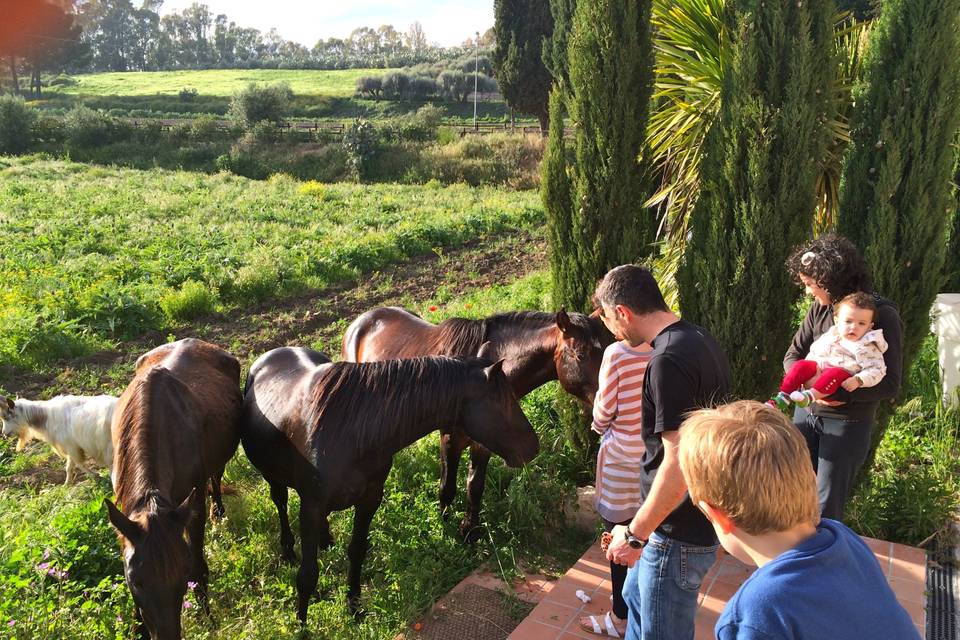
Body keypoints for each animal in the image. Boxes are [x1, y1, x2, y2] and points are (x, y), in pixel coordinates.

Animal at [102, 338, 240, 636]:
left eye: (182, 575)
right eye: (137, 581)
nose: (165, 635)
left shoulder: (192, 505)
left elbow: (199, 564)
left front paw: (208, 618)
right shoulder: (124, 511)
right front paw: (138, 628)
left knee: (216, 477)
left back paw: (219, 515)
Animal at [238, 348, 540, 624]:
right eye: (504, 402)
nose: (532, 447)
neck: (352, 432)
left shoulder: (369, 499)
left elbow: (357, 552)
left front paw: (354, 607)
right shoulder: (311, 506)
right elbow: (307, 574)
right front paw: (301, 622)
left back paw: (325, 539)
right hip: (273, 477)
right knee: (280, 502)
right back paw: (288, 550)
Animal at [340, 308, 608, 536]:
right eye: (580, 355)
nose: (606, 400)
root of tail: (361, 320)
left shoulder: (486, 443)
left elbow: (475, 486)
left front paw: (469, 530)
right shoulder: (450, 439)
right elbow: (447, 487)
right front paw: (444, 526)